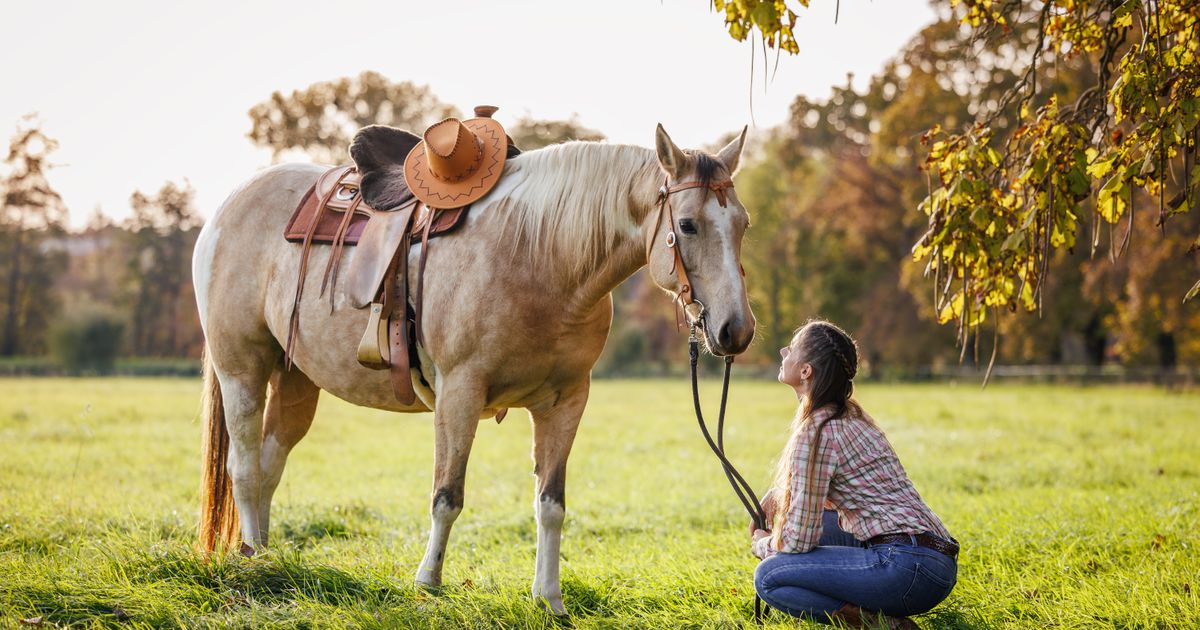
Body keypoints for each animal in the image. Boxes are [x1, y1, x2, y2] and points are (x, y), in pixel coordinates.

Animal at [192, 123, 756, 613]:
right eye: (687, 225)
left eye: (743, 224)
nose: (736, 330)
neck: (539, 255)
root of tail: (226, 208)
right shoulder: (459, 394)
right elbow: (447, 496)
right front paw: (428, 582)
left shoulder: (566, 402)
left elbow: (551, 504)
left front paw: (549, 599)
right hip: (241, 368)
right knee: (244, 467)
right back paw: (252, 562)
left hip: (295, 378)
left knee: (269, 464)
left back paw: (266, 557)